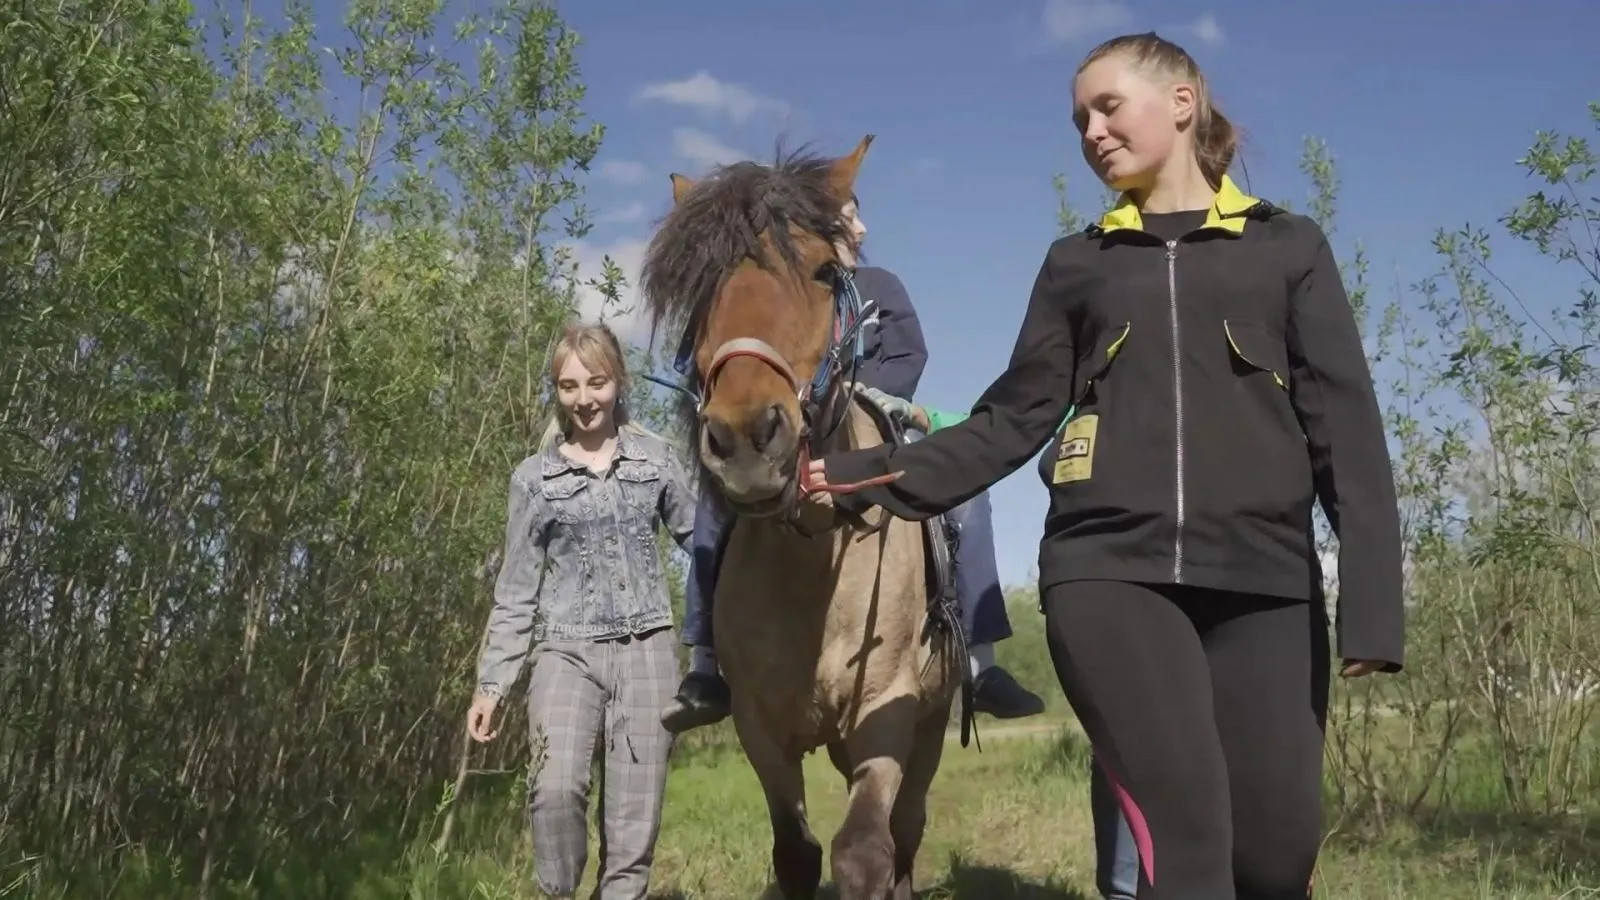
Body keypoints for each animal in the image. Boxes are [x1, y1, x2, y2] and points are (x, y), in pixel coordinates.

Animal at [636, 134, 960, 896]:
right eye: (700, 287)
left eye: (822, 271)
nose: (747, 439)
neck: (813, 562)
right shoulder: (761, 731)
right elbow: (796, 854)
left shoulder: (884, 715)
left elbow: (865, 849)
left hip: (930, 729)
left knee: (907, 831)